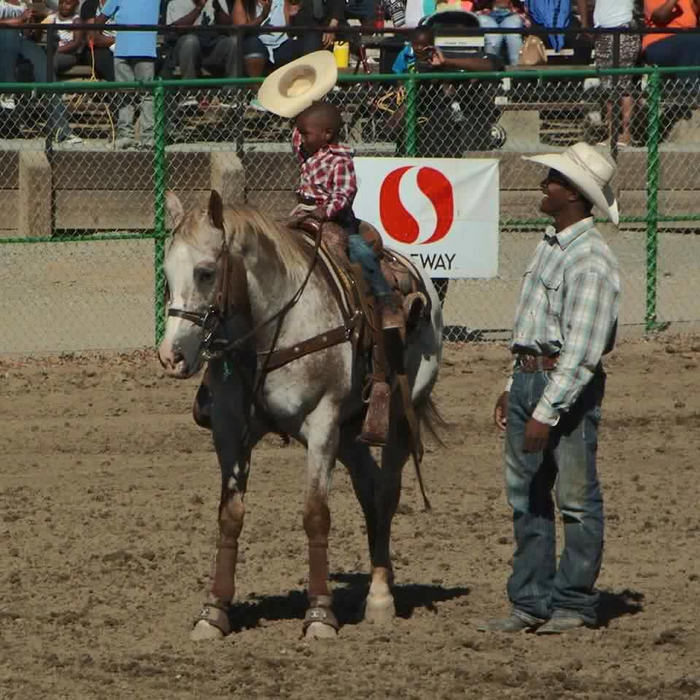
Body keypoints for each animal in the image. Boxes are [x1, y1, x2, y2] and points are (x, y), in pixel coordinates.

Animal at [159, 190, 442, 640]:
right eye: (167, 275)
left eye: (205, 273)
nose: (171, 357)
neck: (269, 328)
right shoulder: (229, 430)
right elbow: (229, 517)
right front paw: (214, 611)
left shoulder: (322, 425)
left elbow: (315, 515)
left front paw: (320, 615)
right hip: (351, 431)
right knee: (369, 489)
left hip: (399, 414)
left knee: (386, 492)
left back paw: (380, 598)